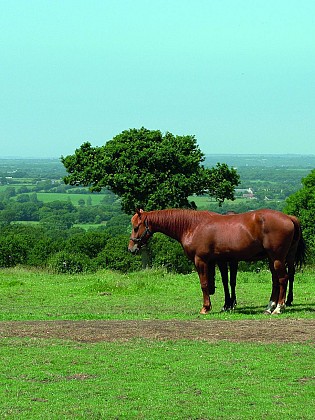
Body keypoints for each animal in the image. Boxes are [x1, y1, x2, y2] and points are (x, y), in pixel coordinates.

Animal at [128, 208, 306, 314]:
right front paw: (226, 304)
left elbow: (205, 284)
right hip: (272, 259)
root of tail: (288, 218)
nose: (131, 248)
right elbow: (224, 283)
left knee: (283, 279)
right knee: (276, 281)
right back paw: (270, 307)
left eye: (136, 227)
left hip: (277, 258)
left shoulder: (200, 261)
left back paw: (279, 307)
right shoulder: (219, 261)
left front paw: (206, 307)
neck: (193, 226)